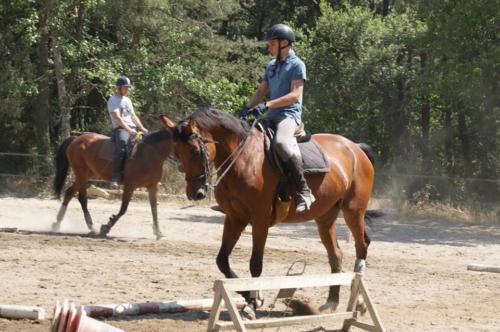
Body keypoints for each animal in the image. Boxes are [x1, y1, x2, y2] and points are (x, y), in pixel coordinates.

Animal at [162, 109, 376, 316]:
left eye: (195, 151)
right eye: (176, 153)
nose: (195, 193)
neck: (243, 159)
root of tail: (355, 148)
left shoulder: (260, 219)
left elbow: (255, 263)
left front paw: (252, 304)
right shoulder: (235, 218)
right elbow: (222, 260)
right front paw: (248, 295)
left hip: (353, 211)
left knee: (361, 246)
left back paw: (359, 302)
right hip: (325, 217)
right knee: (336, 255)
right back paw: (331, 303)